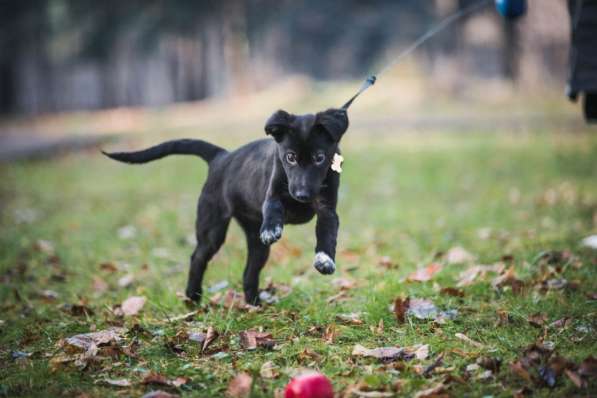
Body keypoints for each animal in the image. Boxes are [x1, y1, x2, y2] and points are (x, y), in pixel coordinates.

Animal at [102, 107, 346, 304]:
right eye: (290, 157)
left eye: (319, 158)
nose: (302, 195)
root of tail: (221, 157)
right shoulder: (273, 193)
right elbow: (273, 208)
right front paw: (271, 228)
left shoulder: (327, 209)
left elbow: (328, 233)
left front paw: (324, 259)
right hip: (212, 228)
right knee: (197, 258)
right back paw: (193, 297)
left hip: (254, 241)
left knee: (249, 272)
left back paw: (254, 303)